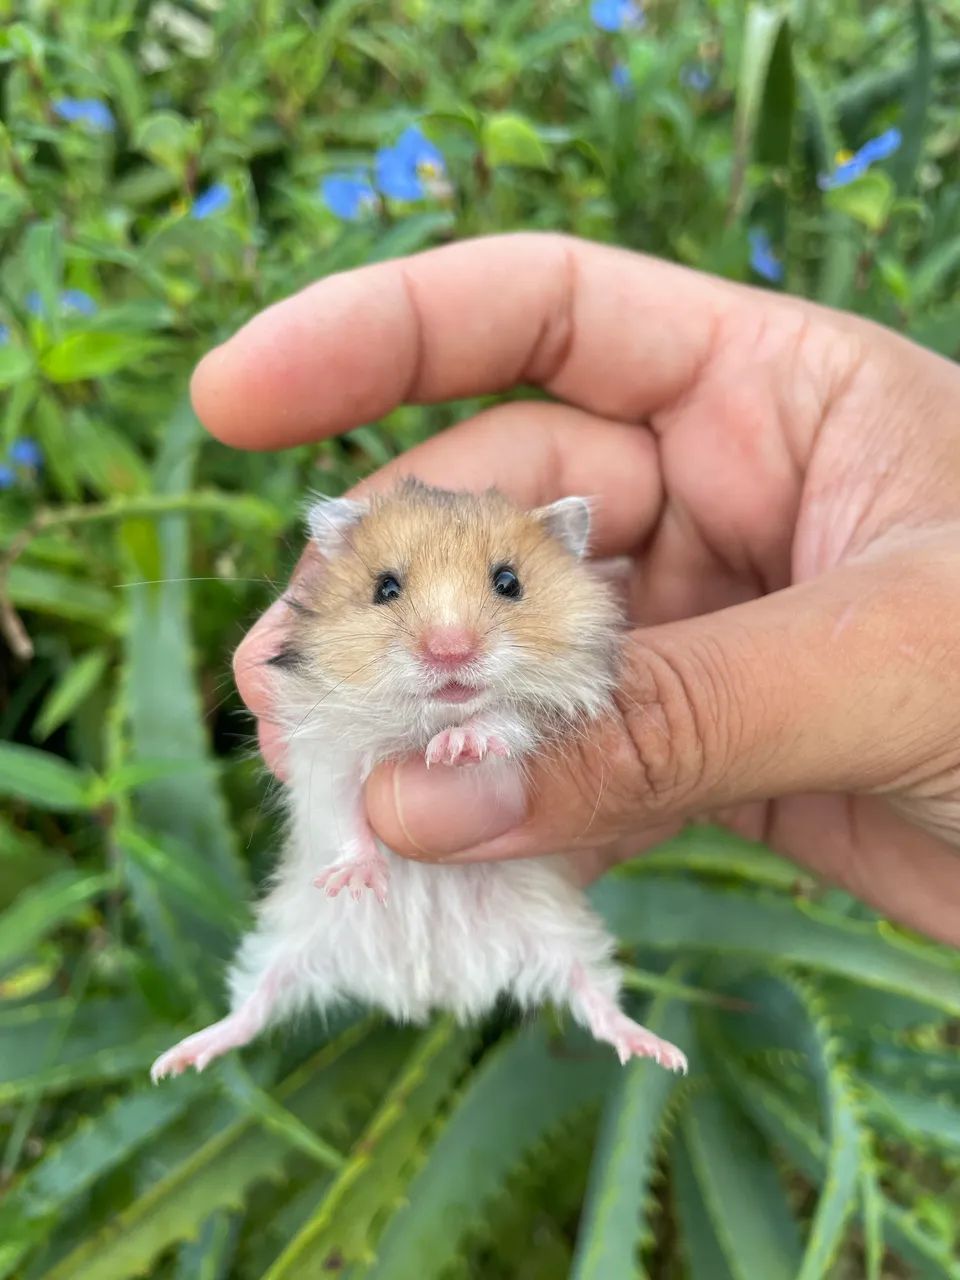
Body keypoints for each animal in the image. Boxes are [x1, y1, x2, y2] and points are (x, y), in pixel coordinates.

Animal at [151, 479, 687, 1081]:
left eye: (509, 582)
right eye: (385, 587)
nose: (449, 652)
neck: (424, 719)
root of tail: (428, 993)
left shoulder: (539, 717)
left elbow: (500, 719)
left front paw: (454, 749)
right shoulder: (324, 758)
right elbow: (345, 816)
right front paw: (358, 880)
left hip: (564, 933)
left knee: (596, 996)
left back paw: (661, 1052)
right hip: (283, 942)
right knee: (251, 1007)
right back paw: (176, 1061)